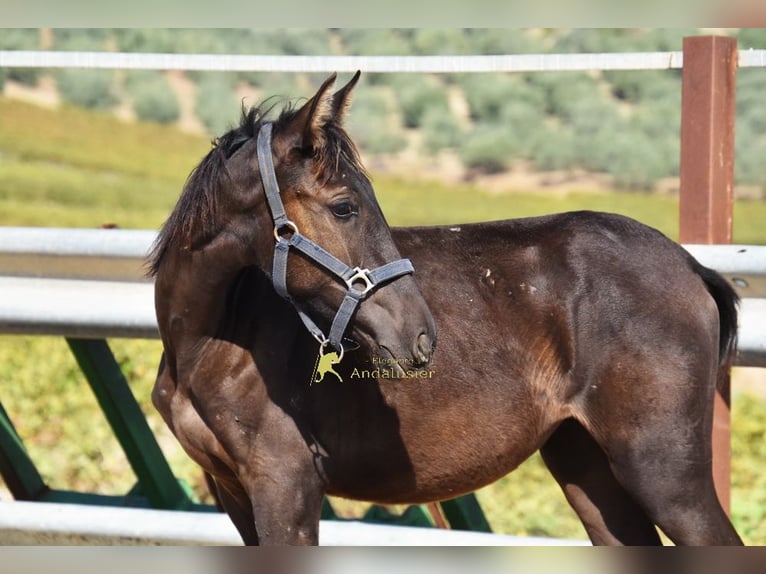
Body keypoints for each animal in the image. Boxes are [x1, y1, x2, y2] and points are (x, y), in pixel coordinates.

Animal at [149, 72, 743, 546]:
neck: (213, 343)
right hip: (586, 464)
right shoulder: (234, 492)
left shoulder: (286, 488)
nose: (420, 335)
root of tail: (690, 266)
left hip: (664, 472)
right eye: (345, 207)